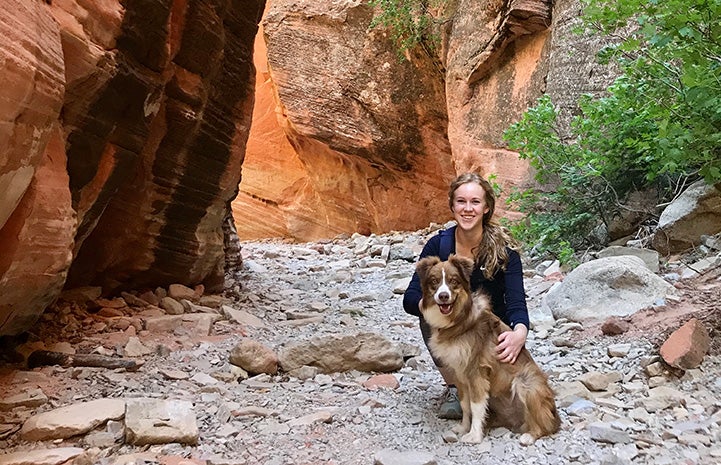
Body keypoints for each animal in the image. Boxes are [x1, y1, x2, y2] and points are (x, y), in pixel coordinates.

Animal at [414, 256, 560, 444]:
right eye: (434, 281)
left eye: (453, 281)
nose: (443, 296)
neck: (458, 320)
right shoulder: (459, 373)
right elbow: (465, 405)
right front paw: (463, 428)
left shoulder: (477, 372)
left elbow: (476, 407)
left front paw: (474, 436)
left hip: (527, 383)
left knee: (545, 423)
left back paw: (530, 436)